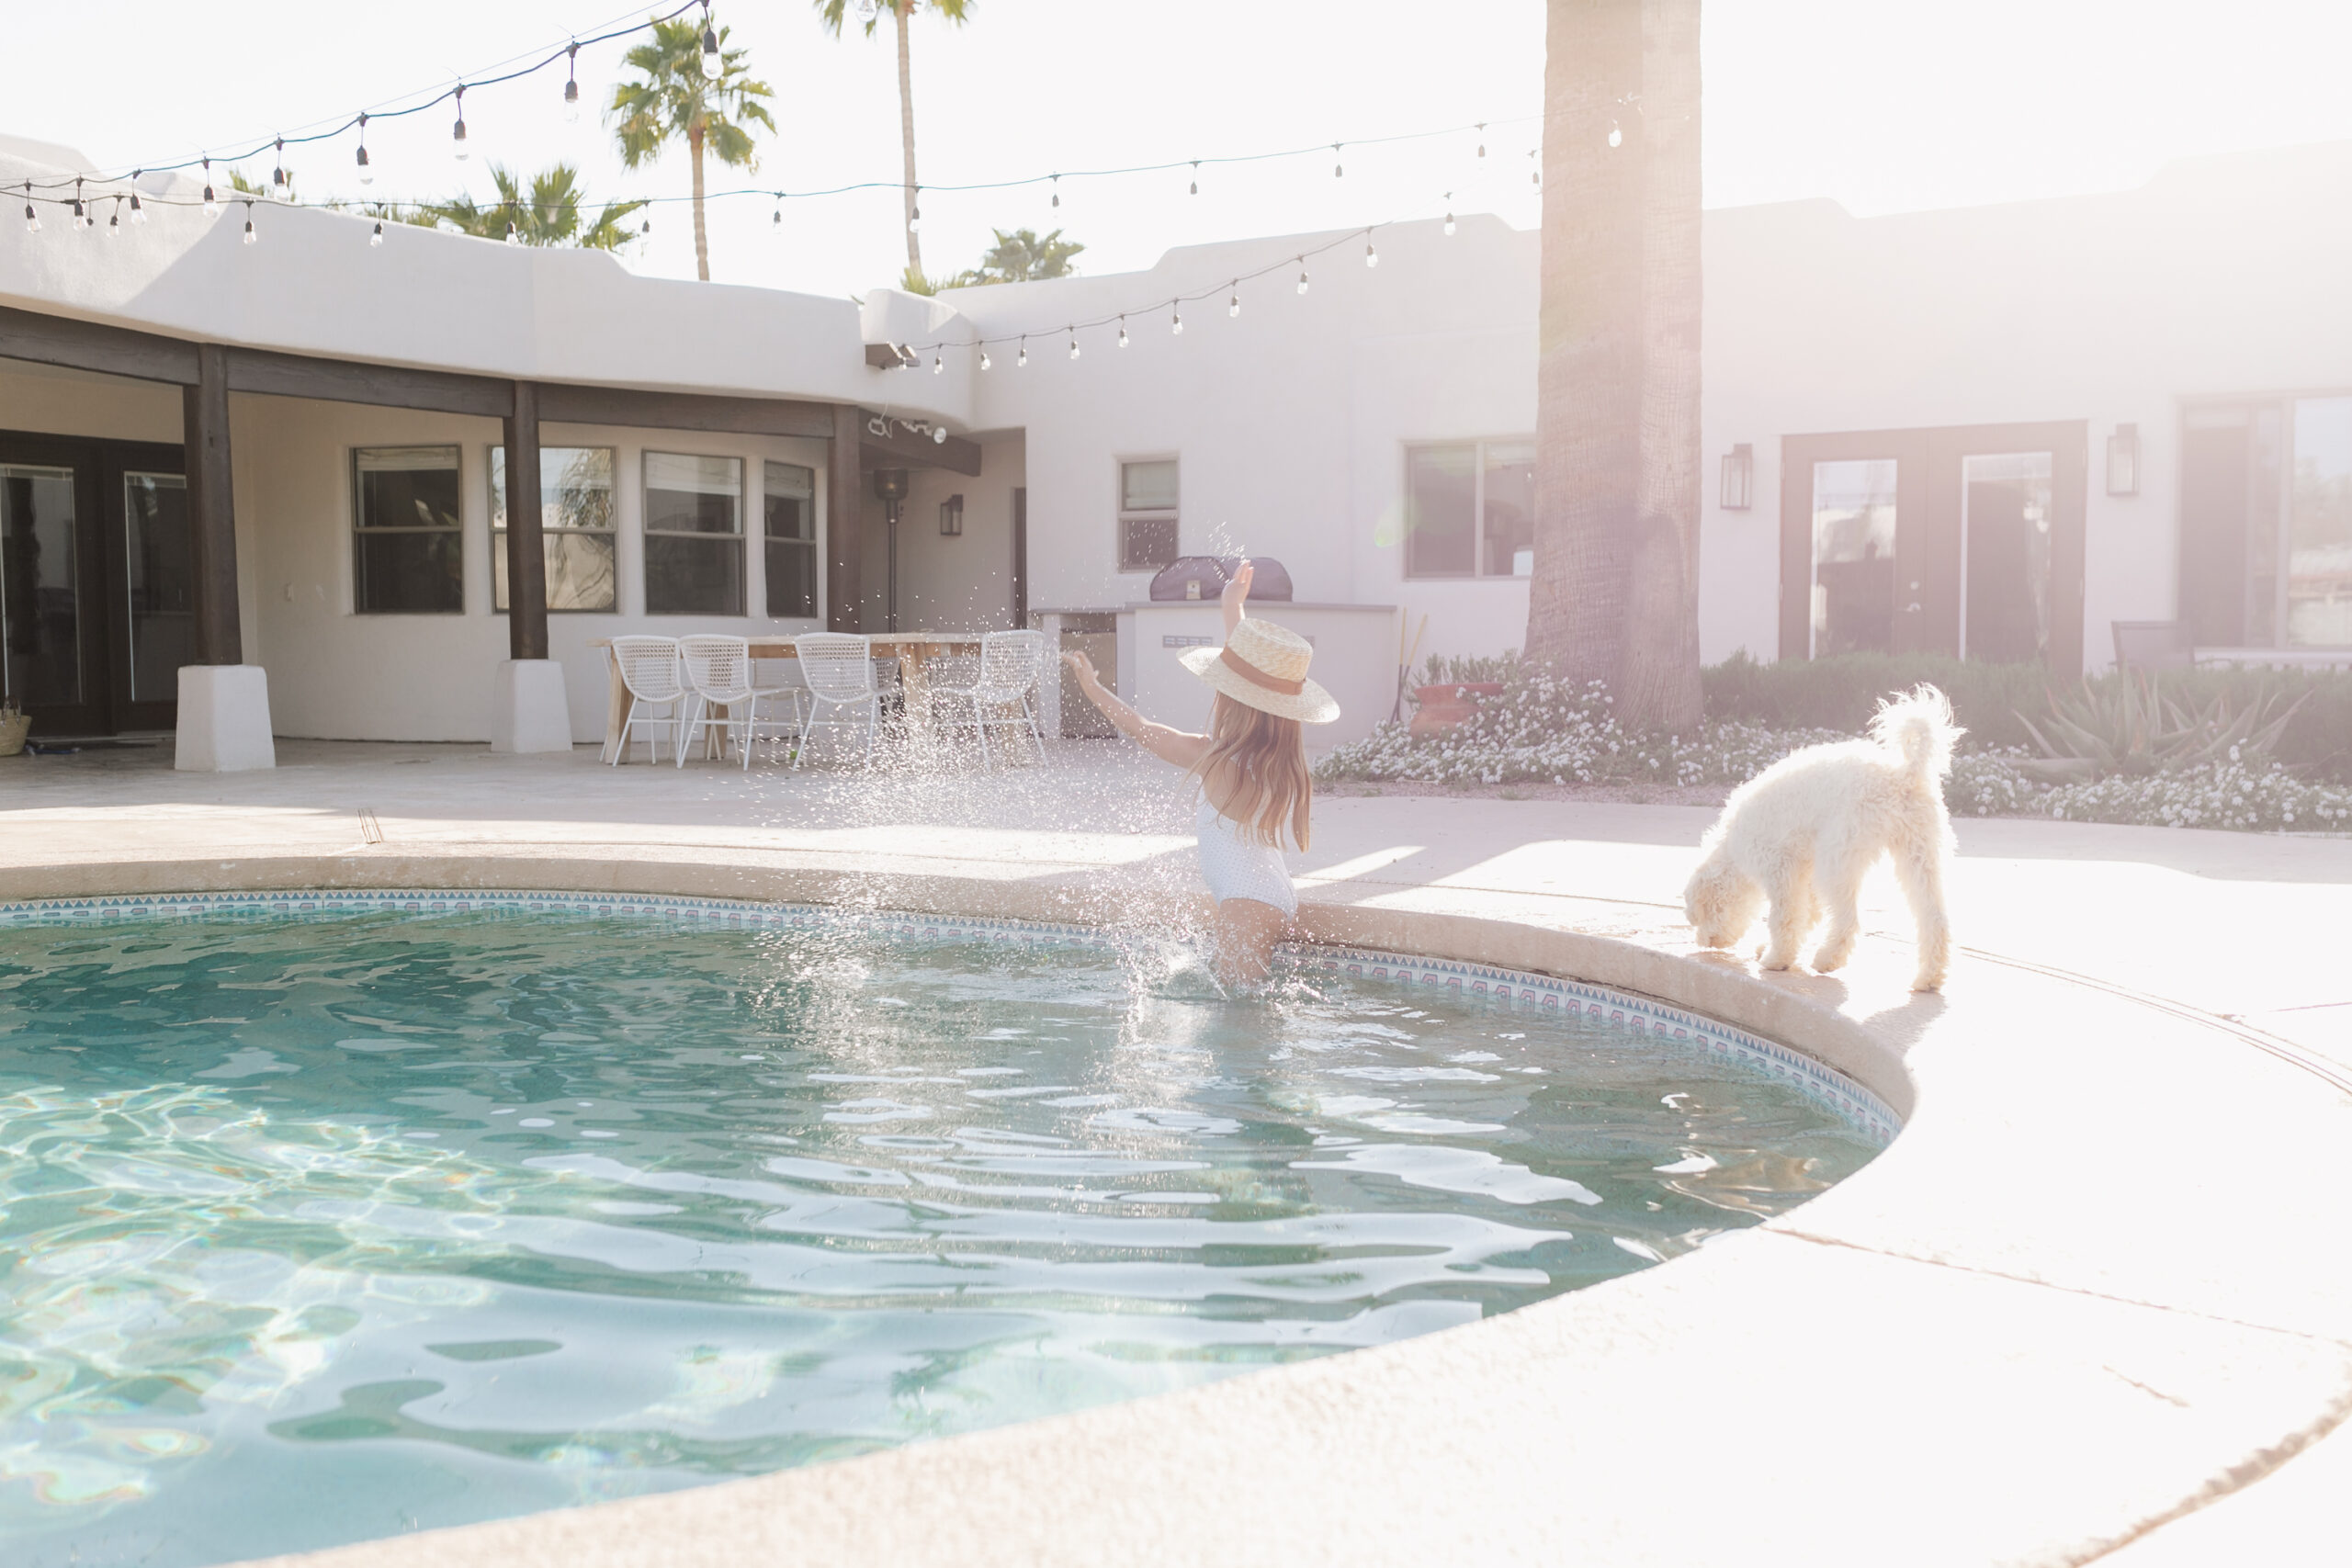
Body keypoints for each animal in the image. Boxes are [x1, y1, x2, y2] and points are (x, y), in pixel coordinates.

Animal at [1683, 686, 1956, 991]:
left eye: (1704, 914)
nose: (1702, 942)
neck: (1733, 848)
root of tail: (1904, 774)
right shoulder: (1805, 872)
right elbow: (1808, 914)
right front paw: (1771, 949)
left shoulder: (1781, 870)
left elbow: (1785, 917)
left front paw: (1776, 959)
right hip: (1920, 856)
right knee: (1935, 918)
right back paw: (1929, 977)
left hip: (1837, 861)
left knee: (1848, 920)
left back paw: (1828, 959)